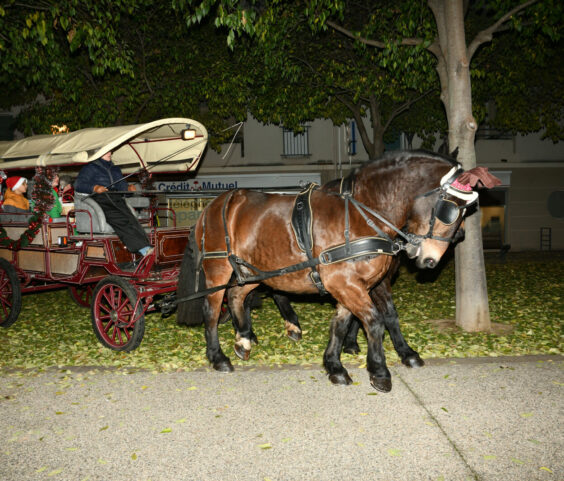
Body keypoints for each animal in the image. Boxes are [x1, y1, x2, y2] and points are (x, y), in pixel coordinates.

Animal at [178, 150, 496, 390]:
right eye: (450, 209)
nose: (430, 260)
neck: (363, 212)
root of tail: (213, 206)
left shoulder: (355, 284)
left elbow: (344, 324)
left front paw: (335, 364)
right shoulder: (345, 283)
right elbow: (375, 321)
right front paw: (379, 371)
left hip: (253, 270)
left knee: (236, 296)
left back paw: (244, 338)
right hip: (218, 268)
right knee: (212, 309)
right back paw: (218, 356)